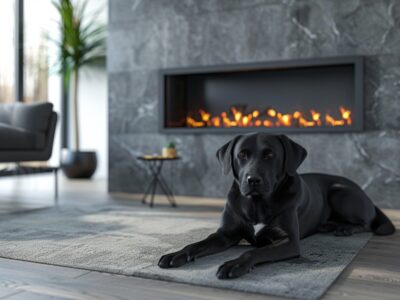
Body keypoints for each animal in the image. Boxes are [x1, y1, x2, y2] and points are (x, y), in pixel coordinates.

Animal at [158, 134, 396, 278]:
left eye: (270, 155)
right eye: (241, 155)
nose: (253, 179)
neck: (257, 202)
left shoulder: (289, 241)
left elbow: (254, 252)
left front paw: (233, 264)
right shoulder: (226, 234)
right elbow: (196, 244)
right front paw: (175, 254)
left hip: (340, 192)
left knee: (366, 223)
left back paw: (343, 228)